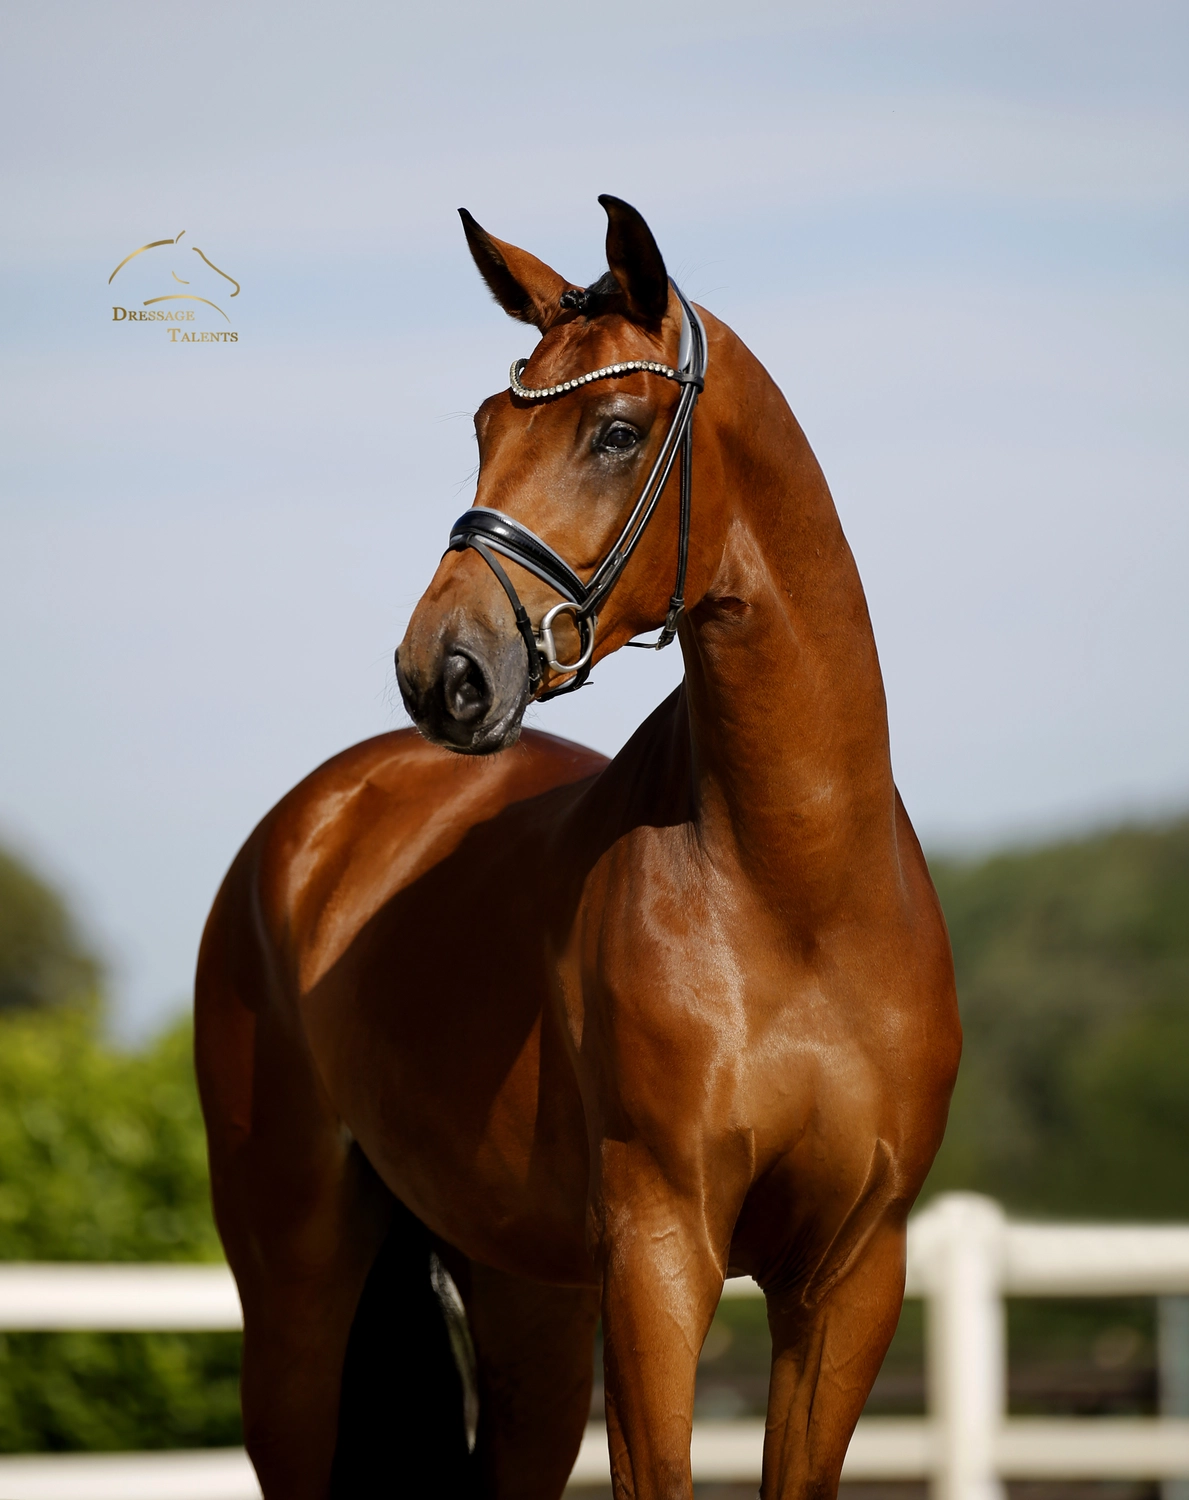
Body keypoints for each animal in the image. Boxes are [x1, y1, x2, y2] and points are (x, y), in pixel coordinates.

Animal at [195, 194, 960, 1500]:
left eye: (613, 431)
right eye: (486, 424)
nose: (444, 670)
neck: (797, 889)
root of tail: (317, 821)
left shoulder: (851, 1273)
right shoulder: (660, 1254)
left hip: (524, 1300)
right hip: (295, 1293)